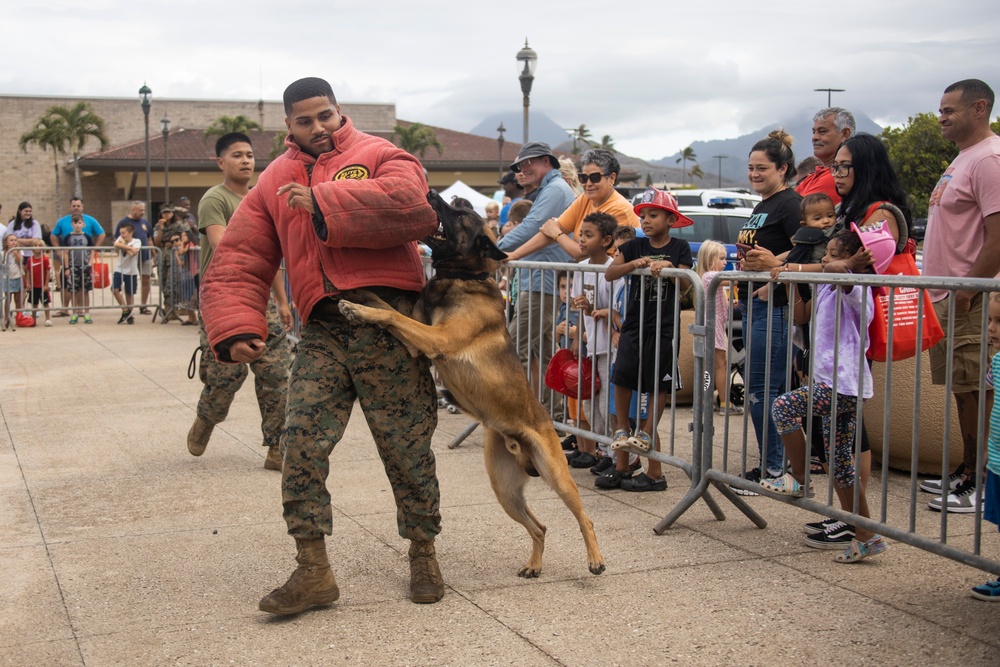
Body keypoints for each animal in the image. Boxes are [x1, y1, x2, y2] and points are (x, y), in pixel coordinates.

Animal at [338, 190, 600, 576]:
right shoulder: (418, 342)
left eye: (460, 214)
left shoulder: (438, 339)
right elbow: (386, 305)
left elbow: (391, 314)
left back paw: (595, 559)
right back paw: (534, 565)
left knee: (585, 518)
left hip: (556, 475)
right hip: (505, 490)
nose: (433, 193)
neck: (464, 277)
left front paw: (358, 310)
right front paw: (357, 296)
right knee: (540, 526)